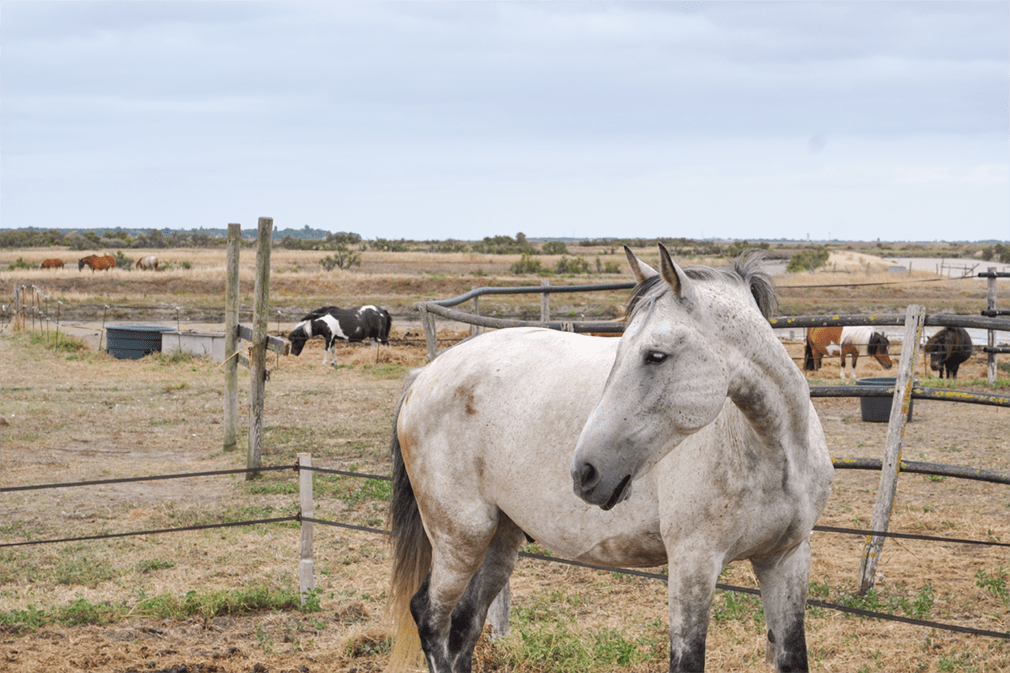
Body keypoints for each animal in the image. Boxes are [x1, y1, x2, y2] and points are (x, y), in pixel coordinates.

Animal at [388, 246, 833, 673]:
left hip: (500, 540)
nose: (585, 472)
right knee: (429, 616)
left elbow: (792, 656)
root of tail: (424, 376)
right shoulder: (693, 564)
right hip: (460, 538)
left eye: (655, 355)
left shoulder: (785, 560)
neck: (773, 454)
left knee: (464, 627)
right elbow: (687, 660)